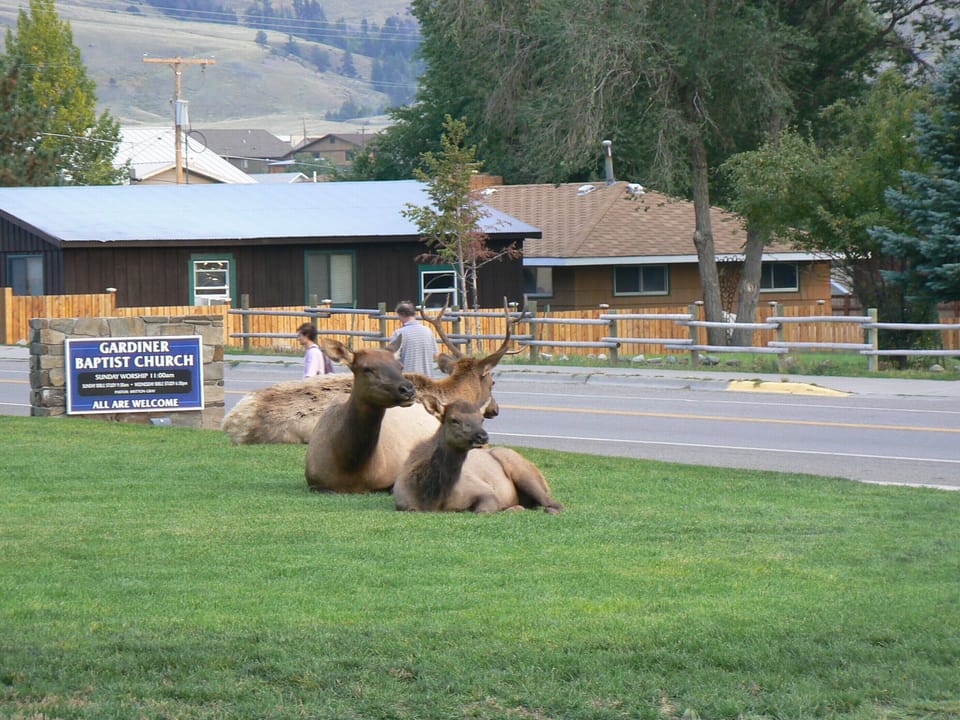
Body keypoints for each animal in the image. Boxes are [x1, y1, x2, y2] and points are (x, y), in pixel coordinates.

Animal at [392, 397, 564, 514]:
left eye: (481, 419)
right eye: (454, 419)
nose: (482, 436)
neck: (432, 497)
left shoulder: (485, 491)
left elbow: (483, 510)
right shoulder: (404, 503)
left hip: (522, 469)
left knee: (553, 503)